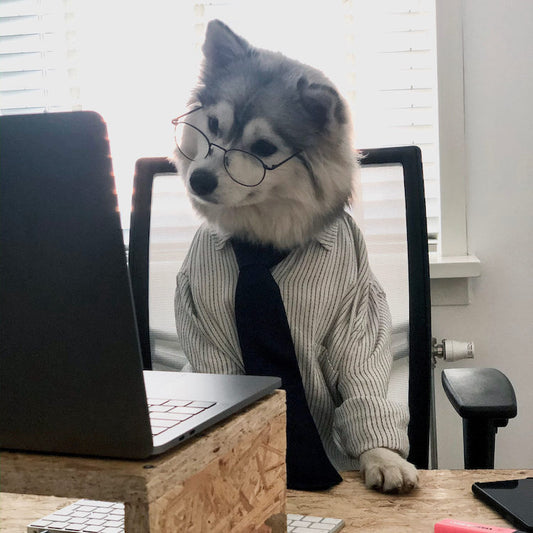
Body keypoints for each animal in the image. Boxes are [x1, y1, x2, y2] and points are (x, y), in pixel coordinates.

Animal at [172, 18, 418, 492]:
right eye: (213, 124)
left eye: (264, 147)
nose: (200, 180)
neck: (264, 244)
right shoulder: (203, 321)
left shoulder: (357, 315)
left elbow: (362, 386)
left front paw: (383, 457)